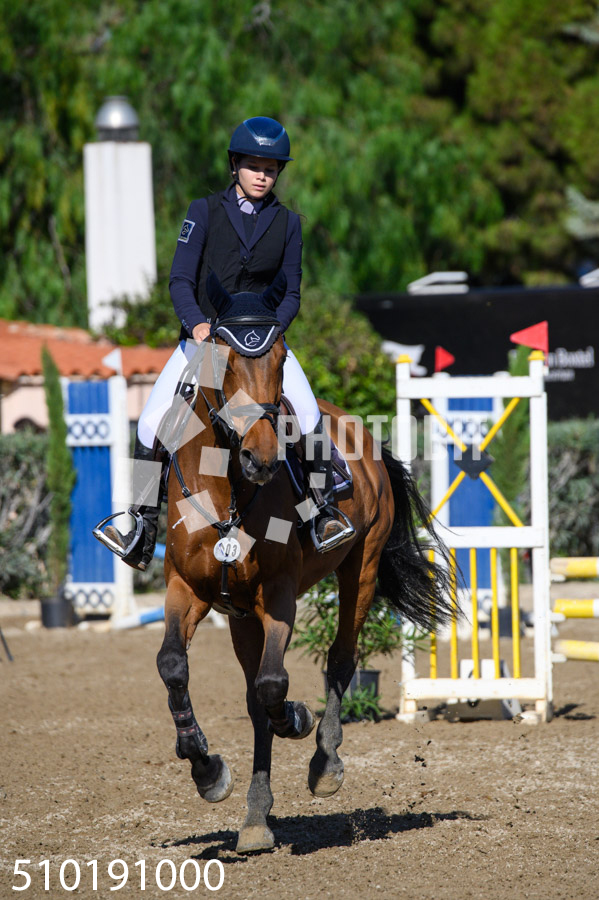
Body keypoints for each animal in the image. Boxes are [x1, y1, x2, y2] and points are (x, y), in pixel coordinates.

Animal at [155, 272, 452, 854]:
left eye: (279, 357)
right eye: (224, 358)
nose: (262, 458)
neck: (228, 488)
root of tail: (359, 429)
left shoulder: (279, 593)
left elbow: (276, 686)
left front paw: (296, 718)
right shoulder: (189, 589)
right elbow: (174, 666)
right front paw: (206, 769)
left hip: (359, 569)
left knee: (340, 660)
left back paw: (325, 764)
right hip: (240, 615)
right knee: (254, 699)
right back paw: (255, 818)